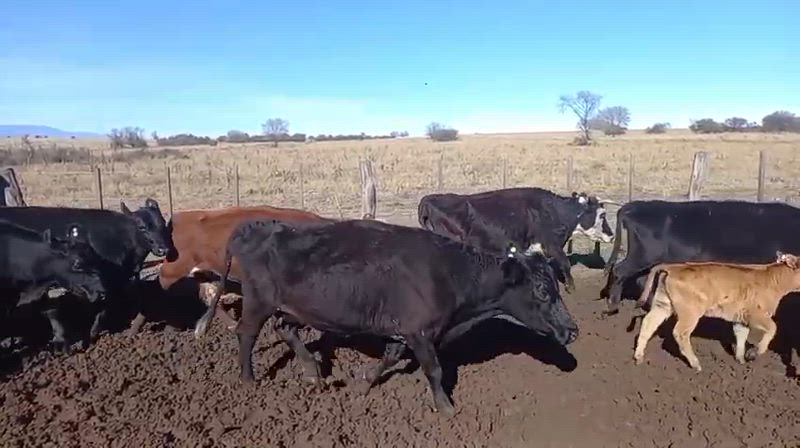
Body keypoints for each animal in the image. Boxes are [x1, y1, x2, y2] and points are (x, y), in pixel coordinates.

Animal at [135, 205, 333, 336]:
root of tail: (180, 217)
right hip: (173, 269)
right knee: (157, 290)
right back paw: (136, 328)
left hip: (203, 271)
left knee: (209, 296)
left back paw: (227, 325)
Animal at [197, 218, 579, 416]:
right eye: (543, 290)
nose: (572, 330)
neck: (450, 272)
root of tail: (255, 225)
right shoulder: (420, 333)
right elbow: (434, 370)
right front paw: (446, 409)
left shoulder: (403, 331)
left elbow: (390, 357)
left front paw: (364, 381)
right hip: (258, 301)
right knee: (246, 333)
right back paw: (249, 379)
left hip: (297, 308)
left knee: (285, 329)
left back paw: (315, 374)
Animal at [418, 188, 614, 293]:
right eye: (602, 215)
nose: (611, 235)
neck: (552, 212)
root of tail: (429, 199)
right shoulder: (552, 245)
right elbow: (565, 263)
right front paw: (570, 288)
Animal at [632, 252, 800, 371]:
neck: (773, 279)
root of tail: (673, 267)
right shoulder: (755, 314)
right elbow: (773, 328)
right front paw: (755, 352)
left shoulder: (740, 318)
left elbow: (741, 336)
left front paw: (741, 359)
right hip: (690, 313)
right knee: (680, 332)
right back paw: (695, 364)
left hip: (663, 305)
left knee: (648, 323)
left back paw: (638, 356)